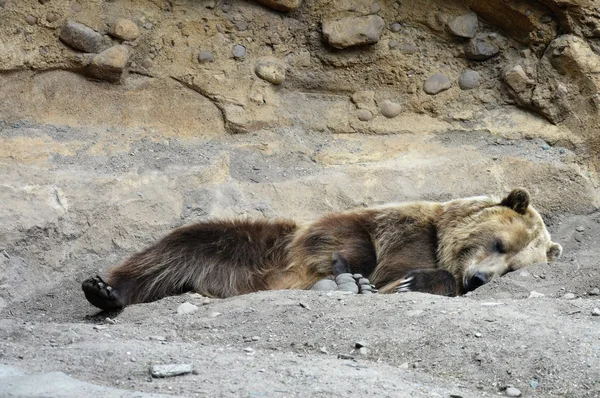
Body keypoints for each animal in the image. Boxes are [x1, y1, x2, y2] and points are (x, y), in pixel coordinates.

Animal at [81, 188, 564, 310]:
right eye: (499, 243)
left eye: (513, 268)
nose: (480, 278)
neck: (438, 238)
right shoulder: (396, 223)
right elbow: (345, 236)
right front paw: (355, 273)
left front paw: (407, 283)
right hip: (239, 247)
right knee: (175, 249)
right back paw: (103, 290)